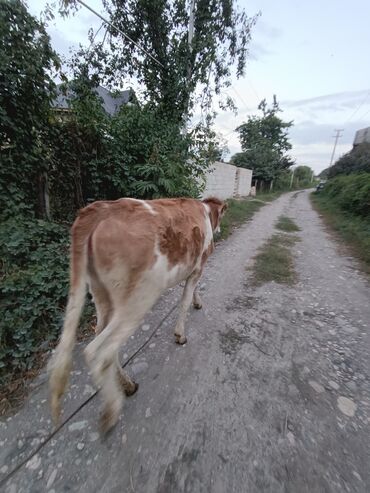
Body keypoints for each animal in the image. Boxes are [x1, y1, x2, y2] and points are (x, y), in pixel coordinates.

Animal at [49, 195, 225, 430]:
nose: (220, 229)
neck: (204, 211)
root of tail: (101, 209)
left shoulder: (192, 269)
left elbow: (192, 292)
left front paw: (197, 303)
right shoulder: (197, 267)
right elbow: (184, 301)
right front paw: (180, 334)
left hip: (102, 295)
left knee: (103, 338)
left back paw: (127, 384)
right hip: (138, 299)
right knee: (98, 351)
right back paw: (112, 410)